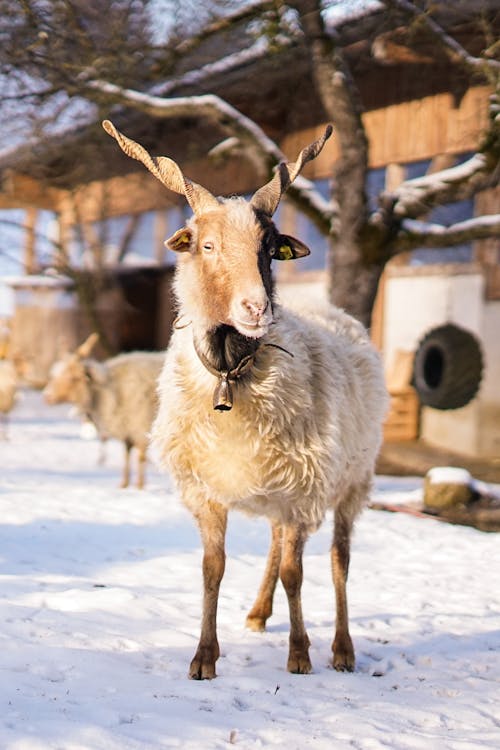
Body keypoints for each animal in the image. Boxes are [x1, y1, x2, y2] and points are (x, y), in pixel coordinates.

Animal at [42, 336, 163, 490]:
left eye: (75, 378)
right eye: (54, 375)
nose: (47, 396)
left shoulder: (139, 426)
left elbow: (140, 457)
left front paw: (140, 486)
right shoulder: (126, 428)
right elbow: (126, 455)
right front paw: (124, 484)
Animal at [103, 119, 388, 680]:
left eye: (270, 248)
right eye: (207, 245)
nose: (256, 307)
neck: (231, 376)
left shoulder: (303, 490)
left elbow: (298, 573)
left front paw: (299, 654)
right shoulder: (207, 489)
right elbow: (213, 569)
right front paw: (203, 657)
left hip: (350, 478)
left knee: (338, 560)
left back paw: (342, 648)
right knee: (279, 547)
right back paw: (258, 613)